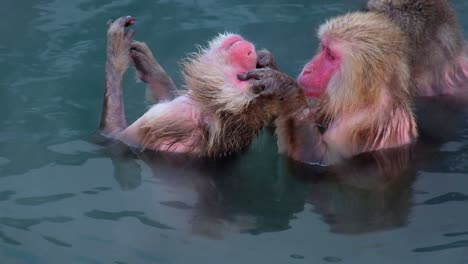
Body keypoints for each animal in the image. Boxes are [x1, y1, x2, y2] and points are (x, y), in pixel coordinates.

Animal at [239, 12, 418, 165]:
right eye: (324, 48)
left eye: (331, 56)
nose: (308, 68)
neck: (364, 99)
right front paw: (268, 63)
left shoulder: (362, 122)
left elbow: (320, 159)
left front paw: (284, 88)